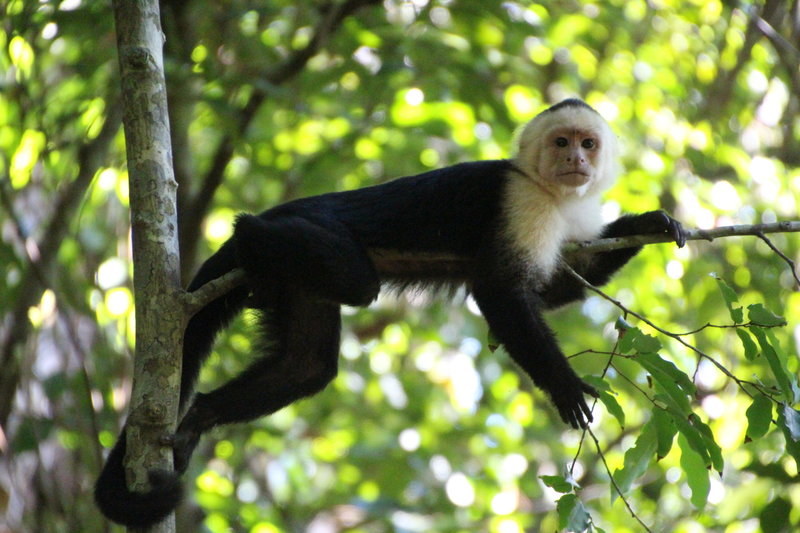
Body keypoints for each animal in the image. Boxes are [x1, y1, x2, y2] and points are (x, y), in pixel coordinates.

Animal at [92, 97, 680, 524]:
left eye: (588, 143)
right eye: (561, 141)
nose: (576, 160)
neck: (547, 189)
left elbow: (556, 290)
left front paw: (650, 223)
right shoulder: (523, 200)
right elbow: (500, 293)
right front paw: (564, 387)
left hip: (301, 288)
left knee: (306, 367)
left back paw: (202, 413)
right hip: (314, 225)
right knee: (356, 281)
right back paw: (249, 234)